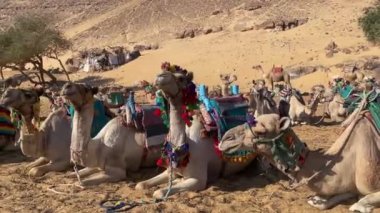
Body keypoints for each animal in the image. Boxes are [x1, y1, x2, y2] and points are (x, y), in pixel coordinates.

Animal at [134, 68, 255, 198]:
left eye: (181, 78)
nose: (160, 76)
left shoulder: (199, 180)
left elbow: (159, 192)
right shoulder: (170, 171)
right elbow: (140, 185)